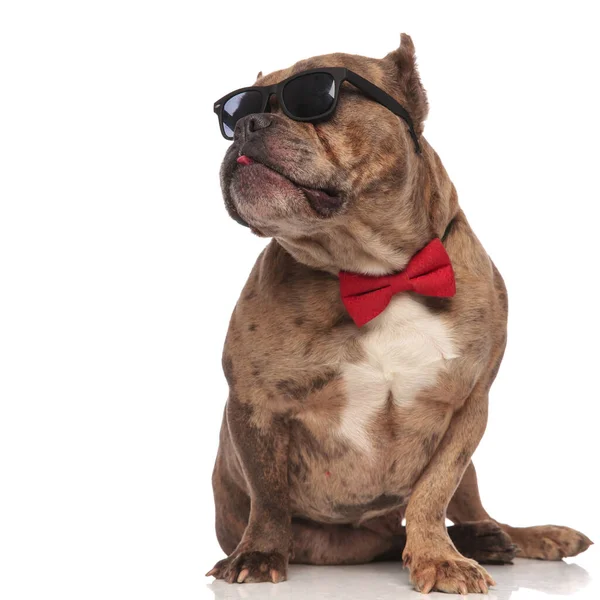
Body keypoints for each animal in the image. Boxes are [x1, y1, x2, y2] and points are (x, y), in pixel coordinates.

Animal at [206, 34, 592, 596]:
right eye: (233, 114)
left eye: (315, 96)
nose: (248, 126)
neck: (378, 273)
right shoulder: (255, 404)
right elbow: (268, 494)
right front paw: (257, 553)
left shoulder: (469, 406)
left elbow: (434, 489)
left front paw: (439, 557)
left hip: (472, 479)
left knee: (471, 510)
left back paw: (518, 537)